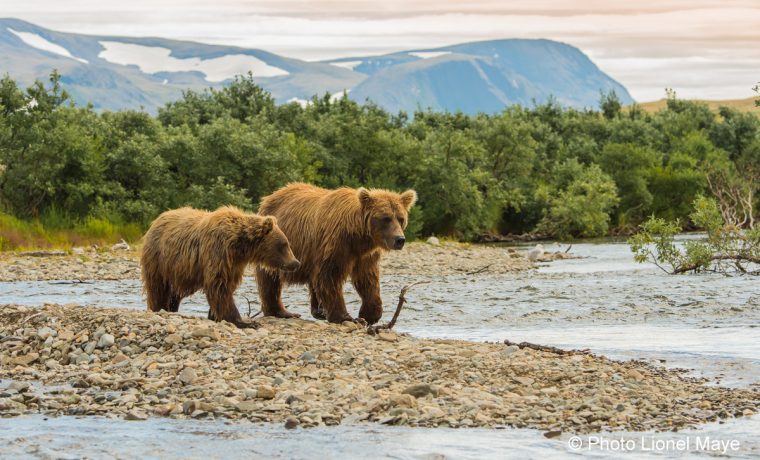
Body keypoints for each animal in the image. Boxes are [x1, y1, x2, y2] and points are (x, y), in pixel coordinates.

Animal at [142, 205, 300, 328]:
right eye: (284, 245)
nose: (295, 263)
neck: (239, 246)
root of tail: (156, 220)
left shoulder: (234, 264)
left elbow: (226, 286)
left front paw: (213, 315)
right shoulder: (218, 252)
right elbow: (220, 287)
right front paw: (245, 322)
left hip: (180, 271)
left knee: (175, 292)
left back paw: (171, 308)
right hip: (159, 260)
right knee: (158, 288)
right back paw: (159, 308)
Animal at [258, 183, 418, 324]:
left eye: (401, 218)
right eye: (386, 218)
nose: (399, 239)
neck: (358, 237)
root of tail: (270, 196)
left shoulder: (365, 255)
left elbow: (367, 278)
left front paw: (370, 314)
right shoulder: (336, 245)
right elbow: (330, 276)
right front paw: (345, 317)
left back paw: (319, 311)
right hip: (278, 246)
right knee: (270, 279)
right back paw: (280, 311)